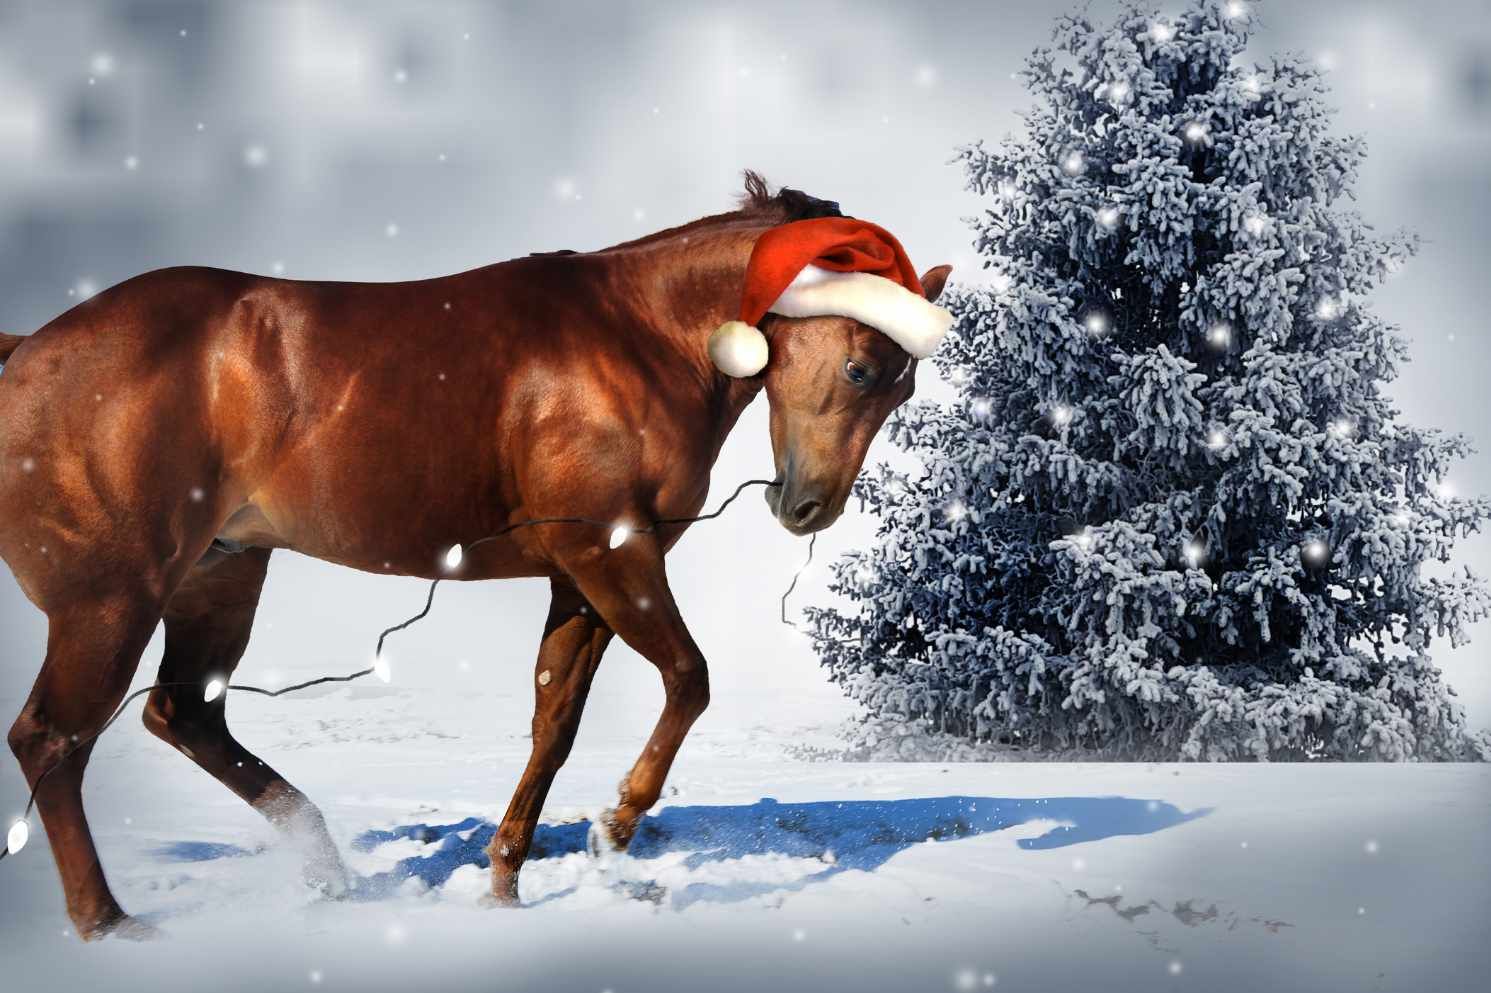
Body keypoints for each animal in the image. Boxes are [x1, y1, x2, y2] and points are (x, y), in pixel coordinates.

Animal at [0, 172, 949, 939]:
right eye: (863, 368)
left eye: (904, 386)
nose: (806, 506)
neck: (639, 336)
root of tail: (27, 351)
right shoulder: (613, 555)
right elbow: (690, 678)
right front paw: (613, 826)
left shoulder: (576, 578)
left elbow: (553, 724)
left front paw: (503, 877)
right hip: (111, 600)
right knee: (52, 739)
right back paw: (110, 923)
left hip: (221, 574)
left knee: (181, 715)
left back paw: (326, 870)